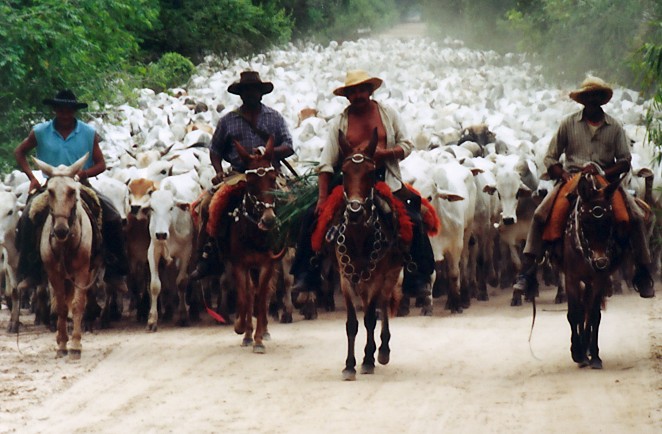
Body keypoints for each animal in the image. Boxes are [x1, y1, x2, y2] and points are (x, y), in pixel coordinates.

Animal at [32, 153, 101, 360]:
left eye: (72, 191)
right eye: (50, 191)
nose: (61, 230)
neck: (65, 244)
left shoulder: (82, 272)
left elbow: (77, 304)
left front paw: (76, 346)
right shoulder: (54, 273)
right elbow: (61, 306)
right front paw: (62, 344)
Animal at [330, 129, 408, 380]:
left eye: (371, 173)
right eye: (344, 173)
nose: (355, 211)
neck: (359, 238)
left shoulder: (377, 277)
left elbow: (371, 319)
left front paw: (367, 360)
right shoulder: (345, 279)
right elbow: (352, 323)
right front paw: (349, 365)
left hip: (390, 274)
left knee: (382, 304)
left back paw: (381, 351)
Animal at [564, 173, 624, 370]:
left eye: (610, 221)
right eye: (585, 221)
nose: (601, 262)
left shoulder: (599, 279)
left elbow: (594, 315)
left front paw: (594, 355)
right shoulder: (571, 278)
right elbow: (574, 313)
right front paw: (577, 353)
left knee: (588, 310)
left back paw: (588, 348)